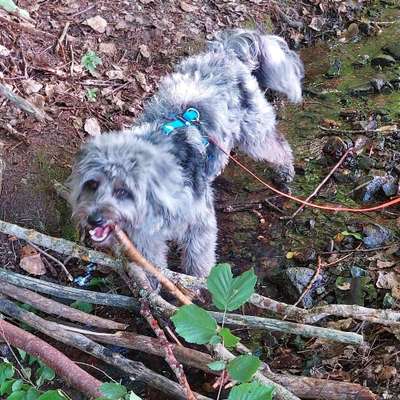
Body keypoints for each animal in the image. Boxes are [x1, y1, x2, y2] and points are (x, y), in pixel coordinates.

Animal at [67, 28, 302, 278]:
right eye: (92, 184)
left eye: (123, 191)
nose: (94, 219)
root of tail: (226, 51)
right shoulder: (146, 238)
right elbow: (154, 268)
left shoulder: (199, 224)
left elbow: (198, 262)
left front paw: (199, 286)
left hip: (254, 133)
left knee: (279, 146)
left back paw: (286, 171)